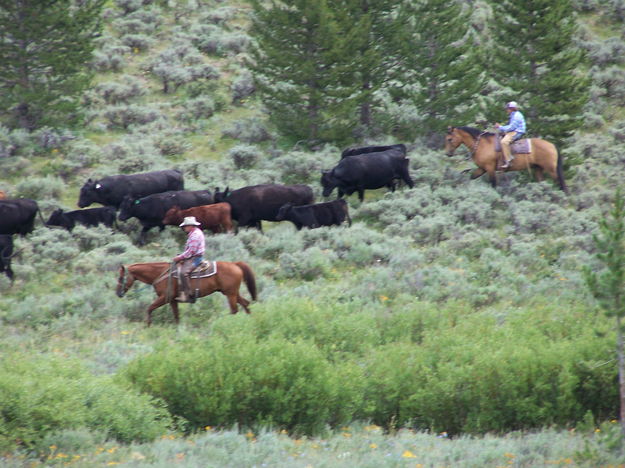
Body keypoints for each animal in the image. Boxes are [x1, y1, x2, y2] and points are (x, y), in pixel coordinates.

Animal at [116, 262, 255, 328]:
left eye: (121, 277)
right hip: (233, 293)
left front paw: (148, 325)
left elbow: (149, 308)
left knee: (234, 310)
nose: (118, 293)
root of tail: (235, 264)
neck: (161, 273)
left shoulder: (164, 298)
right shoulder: (172, 300)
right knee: (246, 304)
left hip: (230, 294)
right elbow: (176, 316)